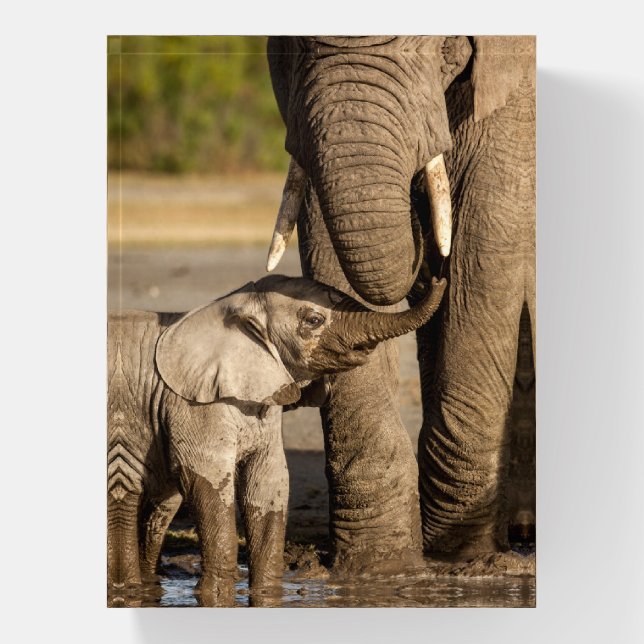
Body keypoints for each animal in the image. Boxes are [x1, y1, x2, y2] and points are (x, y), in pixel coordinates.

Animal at [107, 273, 446, 605]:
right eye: (313, 320)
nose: (437, 278)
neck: (232, 306)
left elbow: (268, 484)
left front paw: (267, 593)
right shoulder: (193, 405)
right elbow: (208, 481)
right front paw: (214, 596)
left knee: (159, 507)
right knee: (124, 493)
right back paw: (127, 588)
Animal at [265, 35, 535, 569]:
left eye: (446, 48)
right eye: (290, 46)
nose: (432, 271)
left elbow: (481, 243)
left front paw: (464, 558)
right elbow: (324, 233)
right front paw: (378, 564)